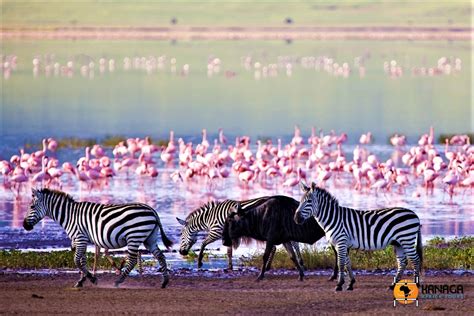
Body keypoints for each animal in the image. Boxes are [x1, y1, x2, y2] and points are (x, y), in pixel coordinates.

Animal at [23, 189, 172, 288]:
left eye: (31, 206)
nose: (24, 225)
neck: (70, 215)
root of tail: (152, 210)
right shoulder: (80, 240)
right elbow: (82, 261)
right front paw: (82, 281)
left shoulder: (80, 238)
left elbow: (77, 260)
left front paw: (92, 279)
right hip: (150, 238)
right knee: (160, 256)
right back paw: (164, 282)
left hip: (134, 237)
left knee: (132, 260)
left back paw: (118, 281)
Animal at [176, 196, 306, 270]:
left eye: (181, 236)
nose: (181, 252)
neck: (209, 217)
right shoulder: (227, 235)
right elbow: (229, 252)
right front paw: (229, 267)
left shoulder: (216, 232)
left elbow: (203, 244)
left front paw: (199, 263)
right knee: (292, 243)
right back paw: (300, 263)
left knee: (279, 246)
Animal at [292, 181, 422, 292]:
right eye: (300, 201)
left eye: (309, 201)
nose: (296, 219)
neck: (333, 218)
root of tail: (414, 214)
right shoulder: (343, 243)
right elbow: (347, 263)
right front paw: (351, 284)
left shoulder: (341, 242)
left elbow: (341, 264)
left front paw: (339, 285)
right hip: (398, 243)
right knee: (402, 262)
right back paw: (392, 285)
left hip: (406, 240)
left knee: (415, 260)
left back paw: (416, 284)